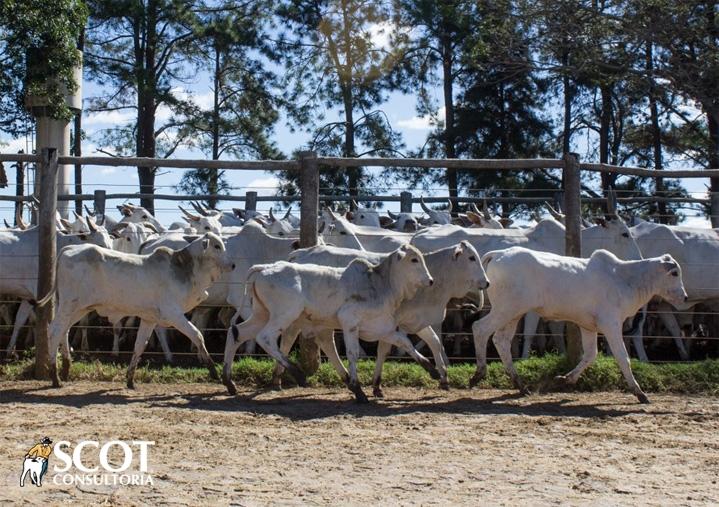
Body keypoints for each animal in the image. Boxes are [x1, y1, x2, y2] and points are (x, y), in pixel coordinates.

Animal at [40, 232, 233, 386]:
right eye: (217, 246)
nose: (232, 265)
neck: (183, 269)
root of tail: (68, 248)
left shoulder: (149, 319)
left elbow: (140, 346)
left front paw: (130, 380)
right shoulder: (173, 314)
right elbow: (197, 335)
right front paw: (213, 371)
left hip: (77, 308)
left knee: (64, 331)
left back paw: (65, 369)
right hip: (69, 306)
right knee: (54, 331)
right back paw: (55, 377)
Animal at [222, 244, 434, 402]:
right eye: (413, 260)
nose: (431, 280)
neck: (379, 284)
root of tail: (264, 268)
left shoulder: (382, 327)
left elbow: (404, 342)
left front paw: (433, 371)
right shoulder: (349, 322)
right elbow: (352, 353)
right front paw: (358, 390)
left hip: (262, 314)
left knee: (236, 333)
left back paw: (229, 382)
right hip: (283, 315)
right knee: (266, 338)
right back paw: (297, 373)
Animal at [470, 247, 688, 404]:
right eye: (674, 273)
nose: (685, 297)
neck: (625, 279)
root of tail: (499, 254)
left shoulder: (588, 327)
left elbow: (590, 355)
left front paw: (563, 380)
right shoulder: (611, 324)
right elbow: (623, 358)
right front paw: (640, 393)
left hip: (513, 314)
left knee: (501, 340)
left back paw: (521, 385)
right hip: (507, 309)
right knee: (480, 329)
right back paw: (478, 374)